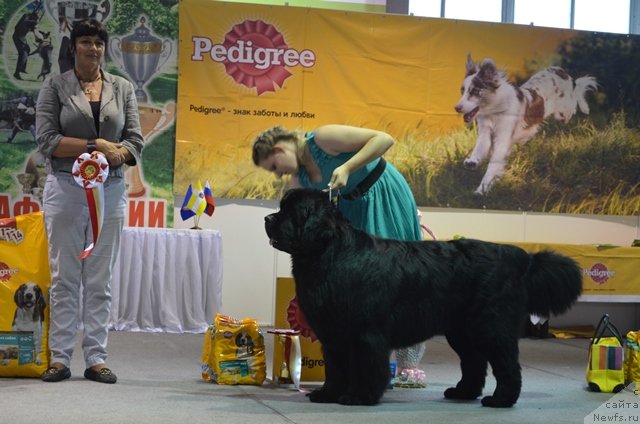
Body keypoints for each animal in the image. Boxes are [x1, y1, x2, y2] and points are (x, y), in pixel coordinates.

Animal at [262, 189, 584, 408]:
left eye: (290, 212)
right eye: (280, 207)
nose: (267, 217)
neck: (330, 254)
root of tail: (518, 256)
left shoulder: (366, 334)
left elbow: (366, 367)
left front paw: (360, 397)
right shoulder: (334, 335)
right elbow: (336, 368)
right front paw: (328, 394)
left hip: (491, 327)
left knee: (506, 365)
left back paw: (500, 400)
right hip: (462, 332)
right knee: (474, 363)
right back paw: (463, 393)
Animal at [452, 53, 596, 197]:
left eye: (475, 91)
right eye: (462, 91)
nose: (457, 108)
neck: (494, 111)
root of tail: (561, 71)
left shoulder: (502, 140)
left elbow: (492, 166)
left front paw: (481, 190)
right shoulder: (485, 134)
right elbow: (479, 149)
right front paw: (472, 162)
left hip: (563, 113)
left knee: (575, 99)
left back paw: (585, 106)